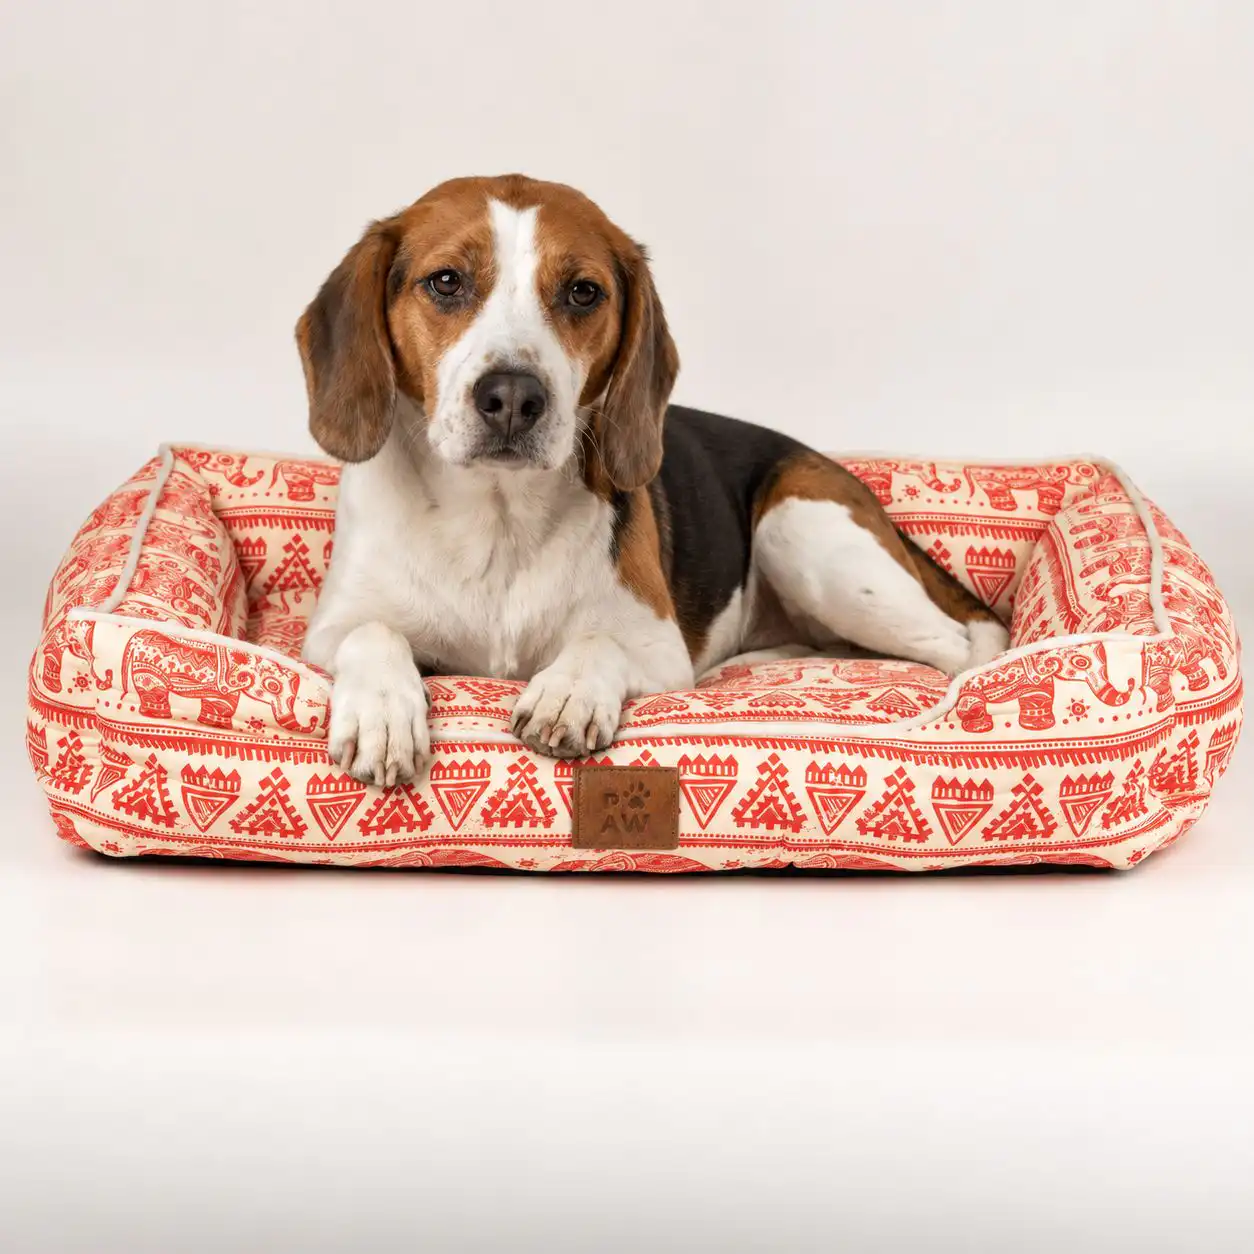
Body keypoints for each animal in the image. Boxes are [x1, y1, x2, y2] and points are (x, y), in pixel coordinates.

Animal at [120, 630, 319, 731]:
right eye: (273, 686)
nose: (314, 719)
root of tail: (136, 637)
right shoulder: (222, 684)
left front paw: (218, 724)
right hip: (147, 670)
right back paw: (158, 715)